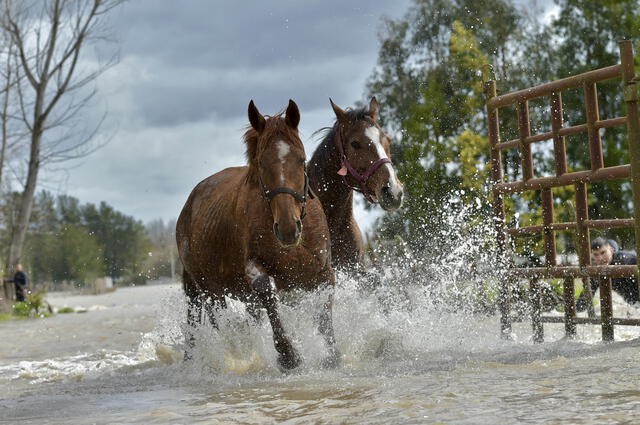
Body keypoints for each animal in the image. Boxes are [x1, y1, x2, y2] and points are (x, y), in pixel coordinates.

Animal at [172, 101, 338, 370]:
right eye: (261, 162)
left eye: (301, 159)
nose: (288, 228)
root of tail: (189, 204)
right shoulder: (254, 267)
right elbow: (265, 289)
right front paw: (288, 355)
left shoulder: (324, 270)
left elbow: (324, 306)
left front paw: (331, 353)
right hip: (208, 289)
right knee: (216, 319)